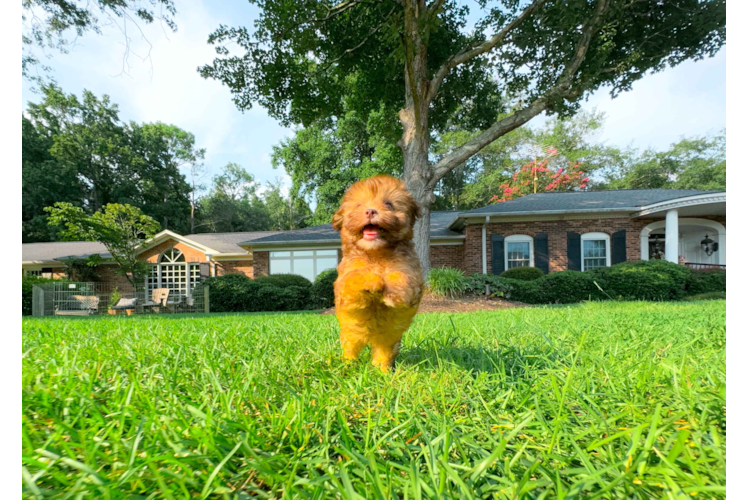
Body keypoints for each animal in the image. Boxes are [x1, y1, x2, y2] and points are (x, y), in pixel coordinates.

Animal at [332, 175, 424, 372]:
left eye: (388, 204)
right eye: (359, 205)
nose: (370, 211)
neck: (376, 253)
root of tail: (370, 338)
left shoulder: (409, 271)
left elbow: (402, 280)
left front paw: (390, 292)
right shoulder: (346, 280)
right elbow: (355, 278)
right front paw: (373, 281)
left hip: (388, 340)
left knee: (383, 353)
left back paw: (383, 371)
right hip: (351, 334)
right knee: (350, 350)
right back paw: (348, 365)